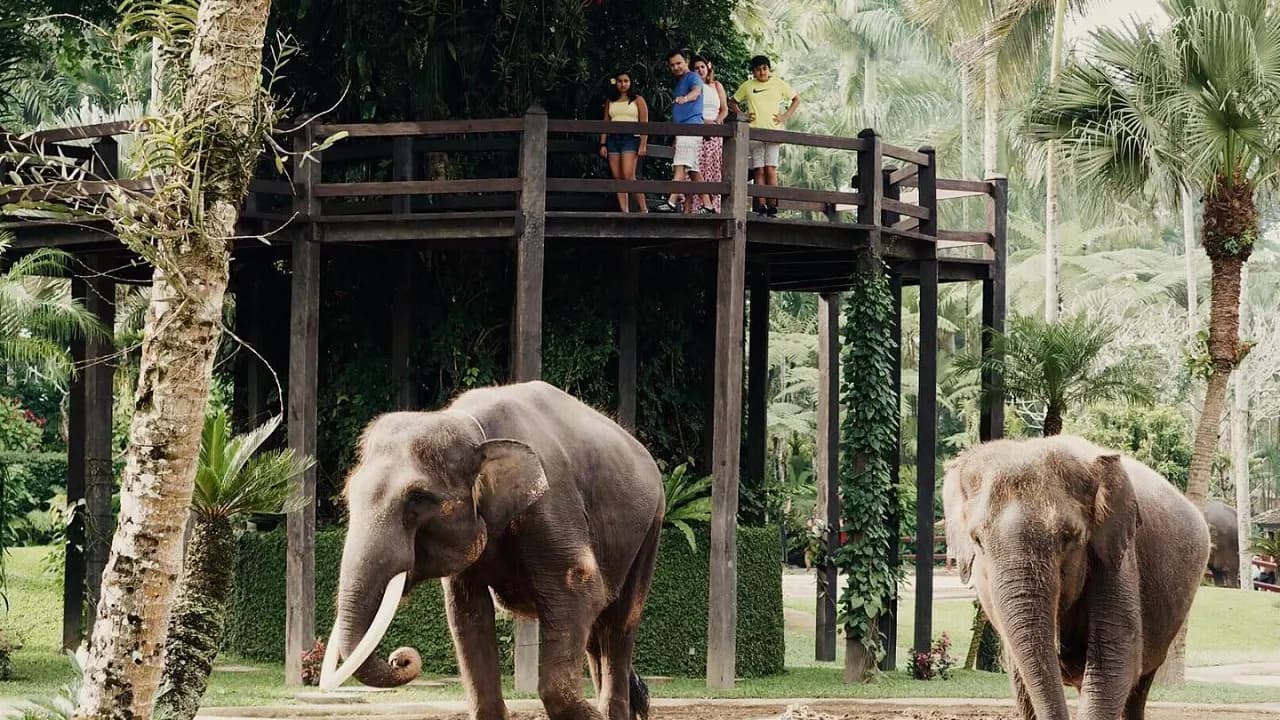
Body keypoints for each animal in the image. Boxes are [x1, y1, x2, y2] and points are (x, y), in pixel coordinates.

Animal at [318, 381, 666, 720]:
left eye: (416, 499)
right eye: (348, 494)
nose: (400, 658)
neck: (473, 430)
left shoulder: (552, 503)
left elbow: (579, 590)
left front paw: (590, 714)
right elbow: (468, 613)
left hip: (650, 530)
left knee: (618, 625)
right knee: (598, 633)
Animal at [943, 434, 1209, 720]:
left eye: (1069, 538)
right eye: (977, 540)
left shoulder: (1117, 558)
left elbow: (1114, 661)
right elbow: (1021, 678)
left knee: (1139, 684)